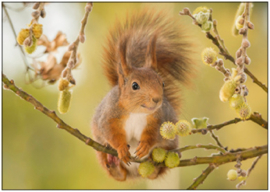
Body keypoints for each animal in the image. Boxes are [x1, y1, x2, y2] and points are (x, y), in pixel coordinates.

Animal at [92, 8, 195, 181]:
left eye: (162, 83)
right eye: (135, 86)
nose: (157, 99)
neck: (136, 112)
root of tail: (136, 174)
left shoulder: (159, 119)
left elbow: (154, 134)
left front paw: (146, 146)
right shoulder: (108, 116)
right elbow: (111, 132)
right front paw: (121, 147)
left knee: (154, 173)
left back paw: (154, 163)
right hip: (100, 152)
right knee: (118, 175)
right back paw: (113, 162)